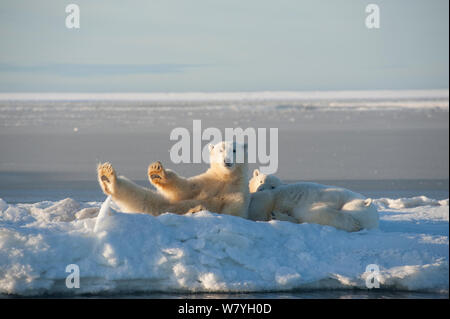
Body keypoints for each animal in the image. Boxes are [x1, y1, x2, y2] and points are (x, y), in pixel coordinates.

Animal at [97, 141, 250, 219]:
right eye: (220, 150)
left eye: (234, 150)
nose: (227, 161)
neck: (225, 178)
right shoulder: (207, 182)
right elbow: (184, 188)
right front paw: (157, 172)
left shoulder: (237, 190)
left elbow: (233, 210)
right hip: (164, 204)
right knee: (140, 196)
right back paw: (107, 176)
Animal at [248, 170, 378, 232]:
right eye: (352, 216)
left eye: (361, 224)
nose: (357, 225)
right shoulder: (333, 195)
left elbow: (308, 214)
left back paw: (277, 216)